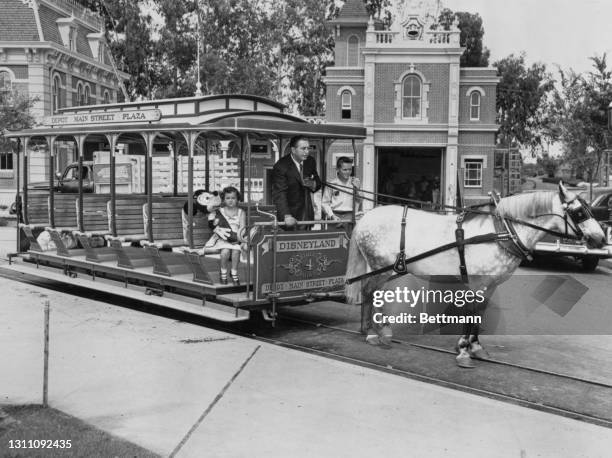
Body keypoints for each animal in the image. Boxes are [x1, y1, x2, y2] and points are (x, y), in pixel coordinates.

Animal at [344, 184, 608, 366]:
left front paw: (475, 348)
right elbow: (472, 314)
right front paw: (463, 350)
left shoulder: (489, 285)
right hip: (380, 265)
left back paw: (376, 330)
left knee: (373, 292)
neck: (501, 232)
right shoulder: (478, 283)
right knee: (369, 290)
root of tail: (366, 217)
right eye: (579, 212)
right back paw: (372, 333)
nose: (601, 239)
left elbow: (478, 314)